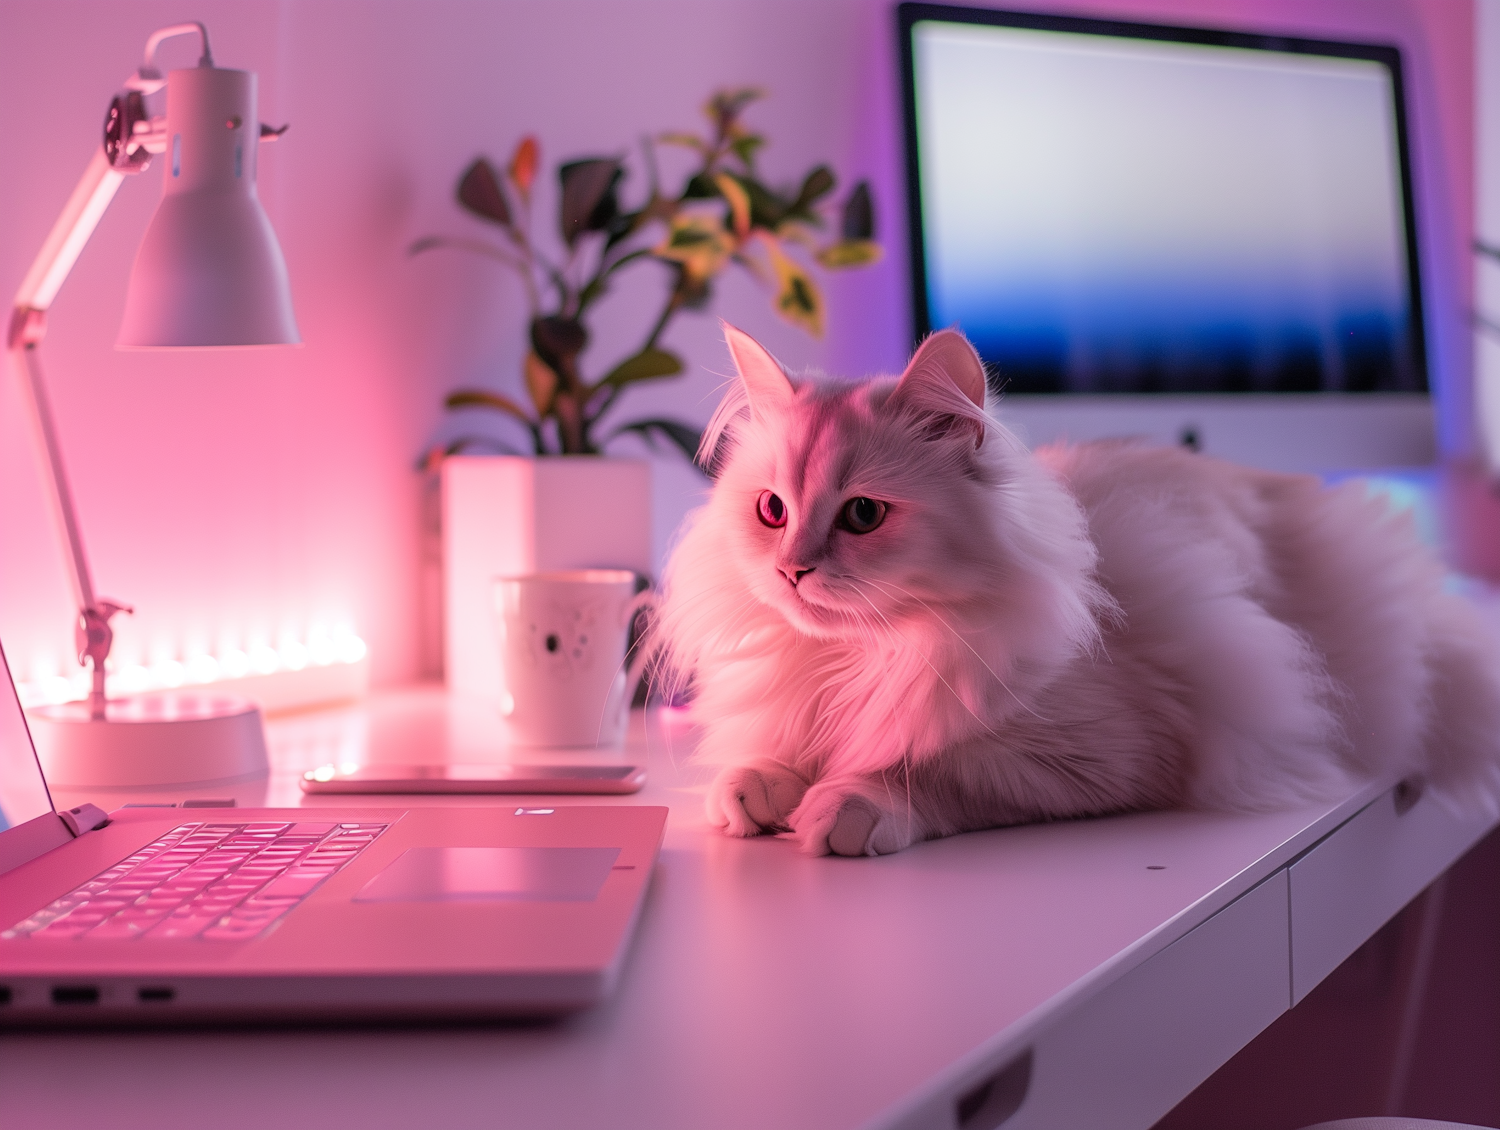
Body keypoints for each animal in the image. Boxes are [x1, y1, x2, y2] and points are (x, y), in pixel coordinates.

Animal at [663, 324, 1500, 852]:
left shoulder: (1116, 753)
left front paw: (848, 804)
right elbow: (775, 755)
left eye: (863, 514)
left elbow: (935, 769)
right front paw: (756, 788)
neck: (859, 659)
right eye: (772, 511)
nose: (791, 569)